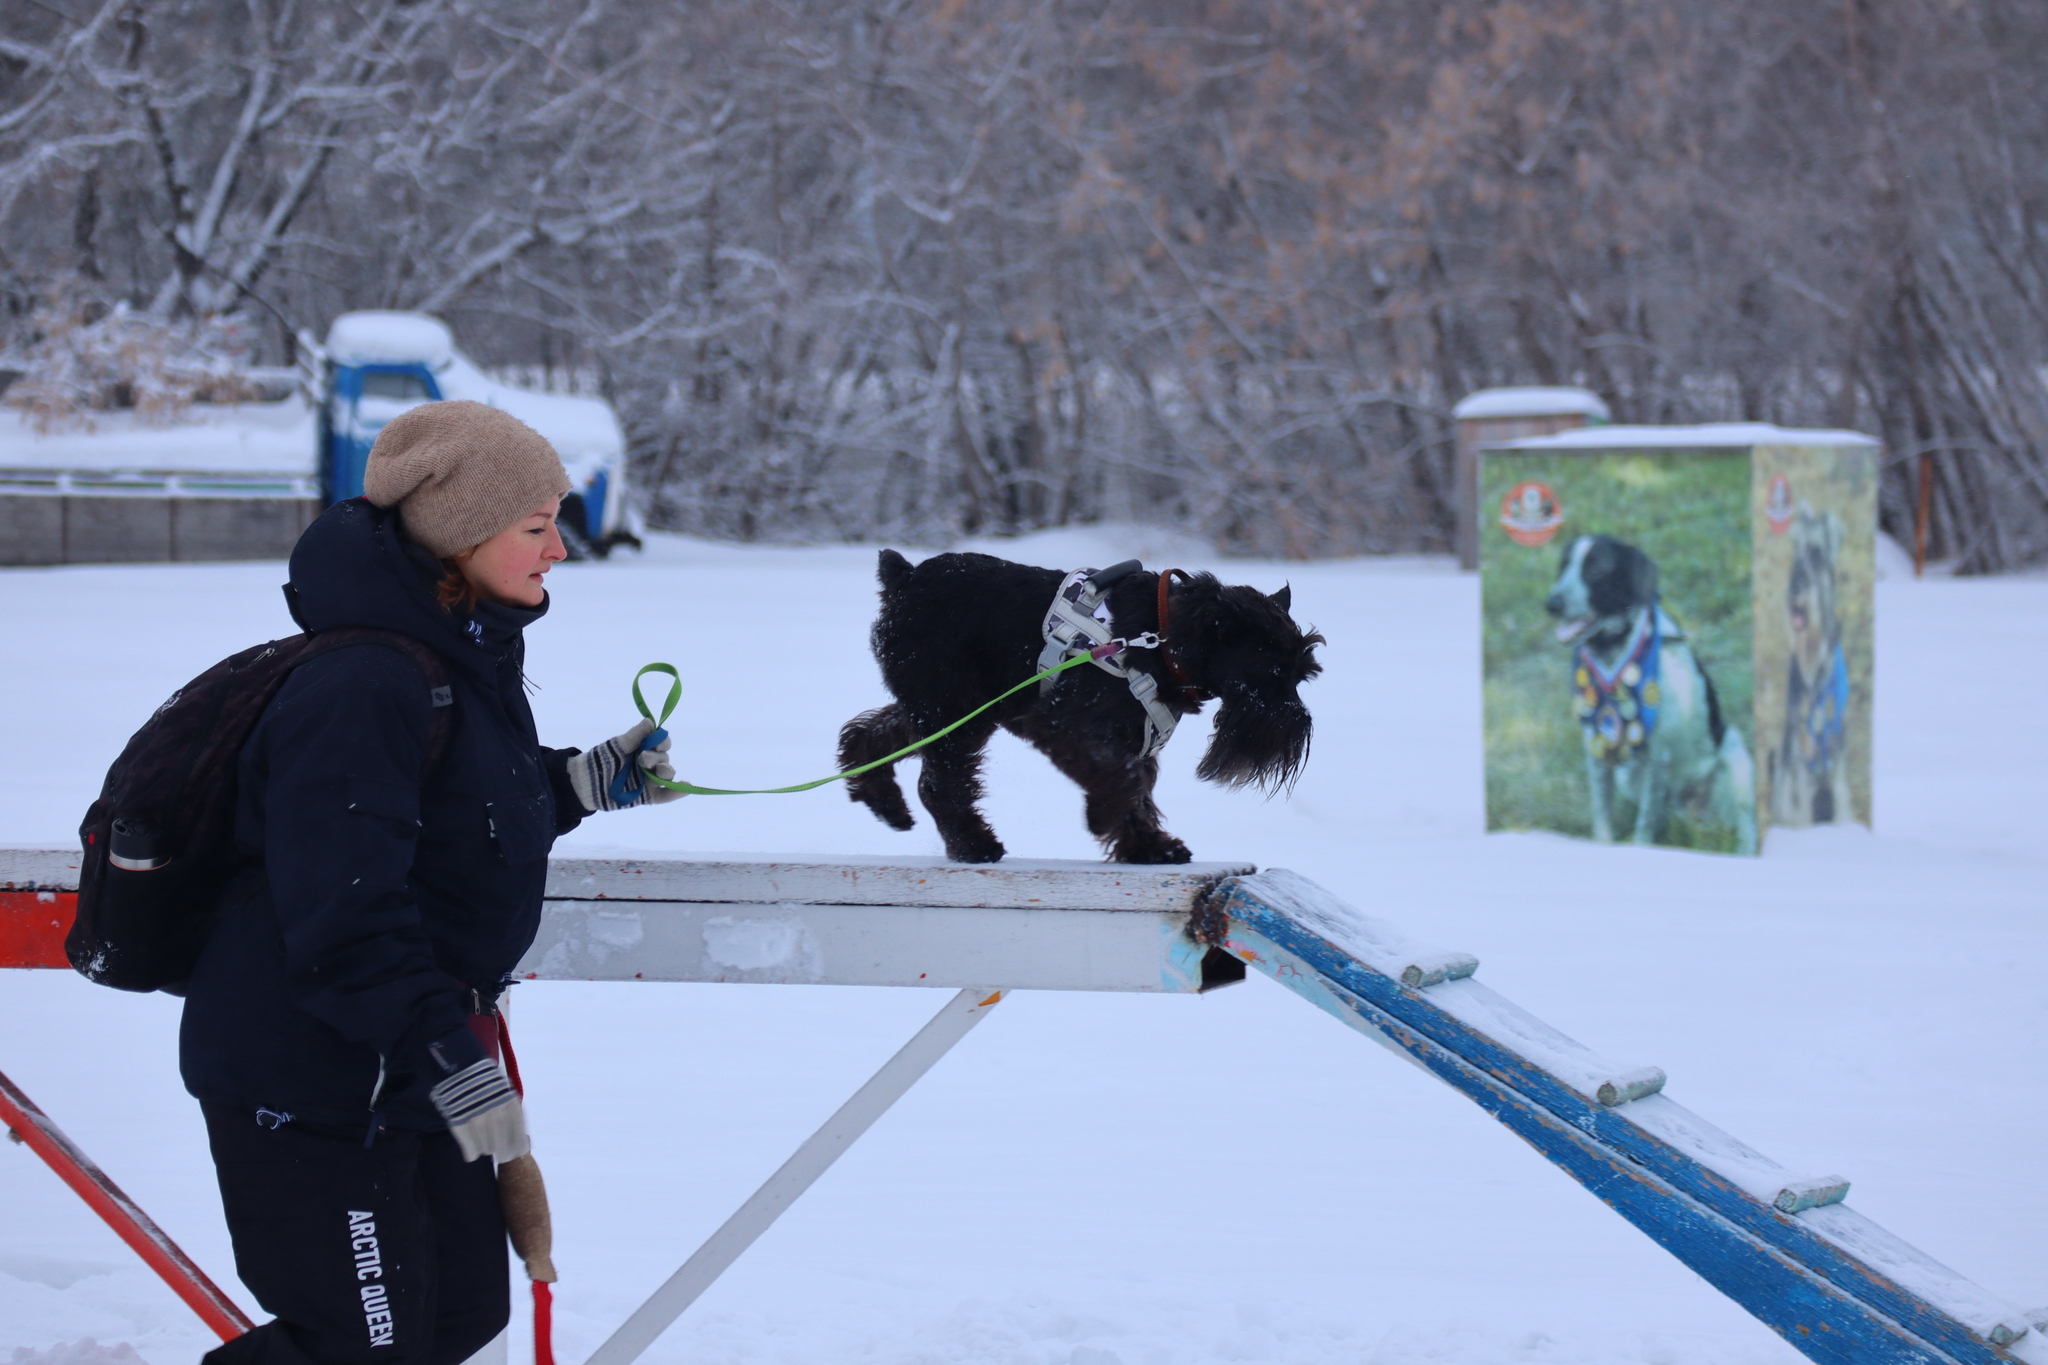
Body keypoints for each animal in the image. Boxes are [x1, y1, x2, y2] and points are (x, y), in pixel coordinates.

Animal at [835, 548, 1327, 859]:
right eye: (1272, 674)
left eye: (1302, 676)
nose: (1298, 725)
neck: (1165, 637)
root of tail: (904, 577)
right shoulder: (1063, 724)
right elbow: (1124, 779)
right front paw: (1100, 816)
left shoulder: (1131, 734)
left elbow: (1139, 788)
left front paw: (1149, 848)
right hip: (953, 710)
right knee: (940, 784)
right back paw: (973, 845)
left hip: (952, 707)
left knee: (873, 732)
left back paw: (882, 800)